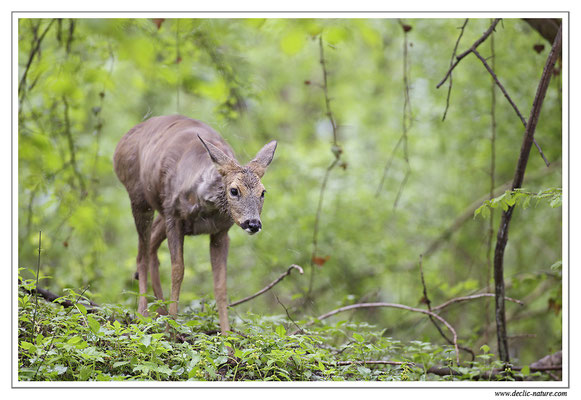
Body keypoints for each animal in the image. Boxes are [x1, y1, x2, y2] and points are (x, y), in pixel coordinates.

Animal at [114, 114, 278, 332]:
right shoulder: (174, 217)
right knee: (142, 254)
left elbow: (220, 285)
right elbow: (178, 270)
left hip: (161, 210)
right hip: (139, 198)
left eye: (263, 192)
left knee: (151, 247)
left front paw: (227, 338)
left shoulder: (220, 232)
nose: (253, 223)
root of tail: (120, 144)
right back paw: (144, 314)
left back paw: (160, 311)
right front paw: (171, 332)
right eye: (234, 190)